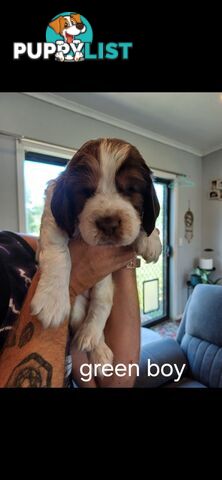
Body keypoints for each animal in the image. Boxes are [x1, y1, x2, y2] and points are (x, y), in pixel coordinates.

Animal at [30, 139, 161, 368]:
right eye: (85, 191)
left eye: (130, 189)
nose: (109, 223)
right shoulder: (52, 212)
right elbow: (57, 250)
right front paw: (52, 299)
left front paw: (152, 239)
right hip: (78, 302)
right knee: (81, 317)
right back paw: (96, 347)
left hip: (104, 285)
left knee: (101, 305)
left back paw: (94, 343)